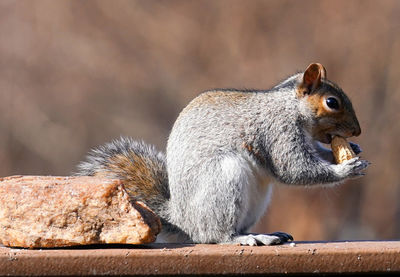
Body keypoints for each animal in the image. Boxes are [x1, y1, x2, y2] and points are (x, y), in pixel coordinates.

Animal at [76, 63, 370, 245]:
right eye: (331, 102)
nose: (357, 132)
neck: (289, 107)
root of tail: (183, 220)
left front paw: (351, 152)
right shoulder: (277, 130)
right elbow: (294, 169)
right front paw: (346, 169)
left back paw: (265, 234)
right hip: (224, 181)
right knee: (217, 235)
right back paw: (245, 238)